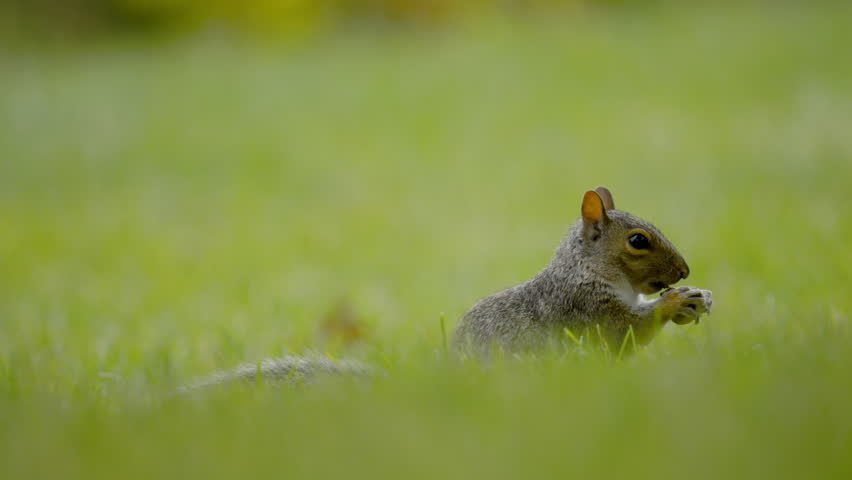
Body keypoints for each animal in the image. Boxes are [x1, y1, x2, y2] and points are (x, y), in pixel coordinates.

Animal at [180, 186, 711, 390]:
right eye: (638, 241)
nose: (685, 271)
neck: (589, 269)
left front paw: (693, 302)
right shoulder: (585, 309)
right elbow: (625, 332)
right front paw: (673, 303)